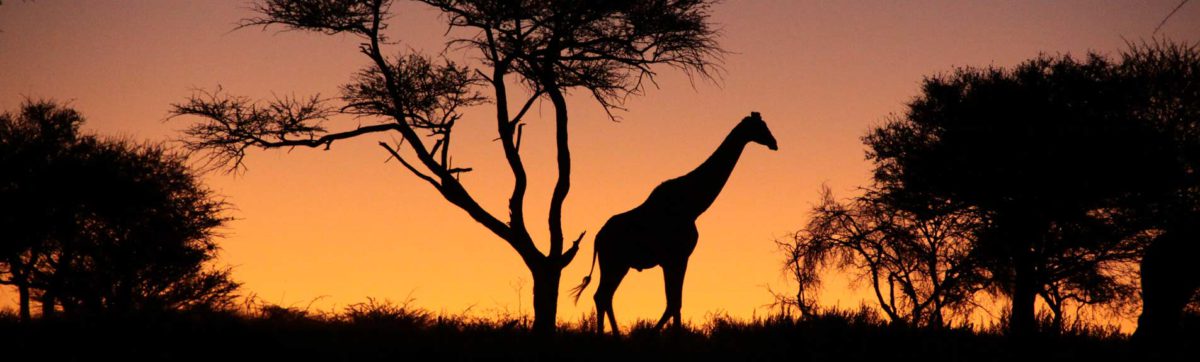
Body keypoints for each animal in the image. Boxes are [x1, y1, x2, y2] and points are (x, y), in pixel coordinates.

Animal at [568, 111, 777, 335]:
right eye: (760, 127)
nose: (774, 143)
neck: (693, 206)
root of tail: (598, 238)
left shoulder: (674, 259)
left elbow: (675, 303)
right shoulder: (677, 257)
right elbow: (674, 303)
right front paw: (663, 334)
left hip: (617, 264)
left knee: (604, 296)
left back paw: (614, 336)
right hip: (614, 262)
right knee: (602, 295)